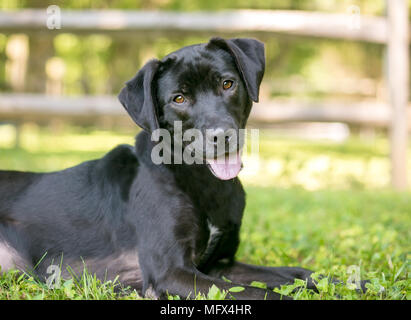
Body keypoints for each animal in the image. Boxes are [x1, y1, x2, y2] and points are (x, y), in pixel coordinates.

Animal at [0, 38, 322, 300]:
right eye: (179, 98)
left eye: (227, 84)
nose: (221, 136)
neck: (203, 181)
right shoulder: (171, 273)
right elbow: (263, 293)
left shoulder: (219, 265)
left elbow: (299, 274)